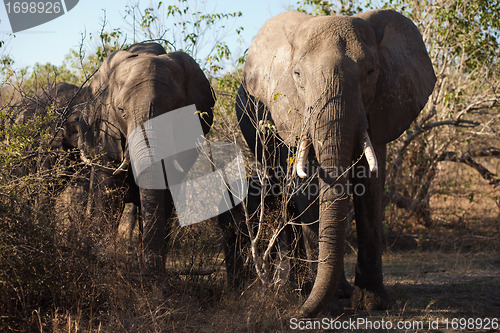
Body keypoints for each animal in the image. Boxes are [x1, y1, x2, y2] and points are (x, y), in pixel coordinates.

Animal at [78, 41, 215, 274]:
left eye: (175, 112)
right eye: (121, 111)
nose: (150, 272)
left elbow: (165, 199)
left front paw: (154, 274)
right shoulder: (107, 132)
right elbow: (109, 196)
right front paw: (103, 262)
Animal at [234, 9, 434, 316]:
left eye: (370, 72)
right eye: (297, 74)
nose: (300, 316)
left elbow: (371, 184)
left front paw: (373, 303)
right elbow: (306, 187)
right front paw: (331, 302)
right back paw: (299, 289)